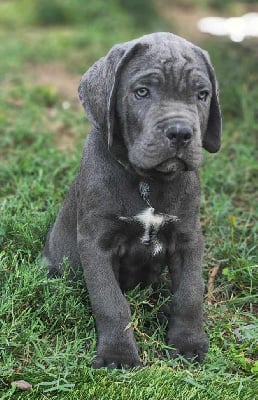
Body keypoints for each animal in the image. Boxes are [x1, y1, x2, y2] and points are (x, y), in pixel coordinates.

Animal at [42, 32, 222, 368]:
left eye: (202, 95)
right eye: (142, 92)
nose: (180, 132)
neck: (147, 181)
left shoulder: (188, 237)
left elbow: (190, 294)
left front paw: (189, 344)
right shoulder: (96, 242)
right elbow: (110, 302)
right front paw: (118, 355)